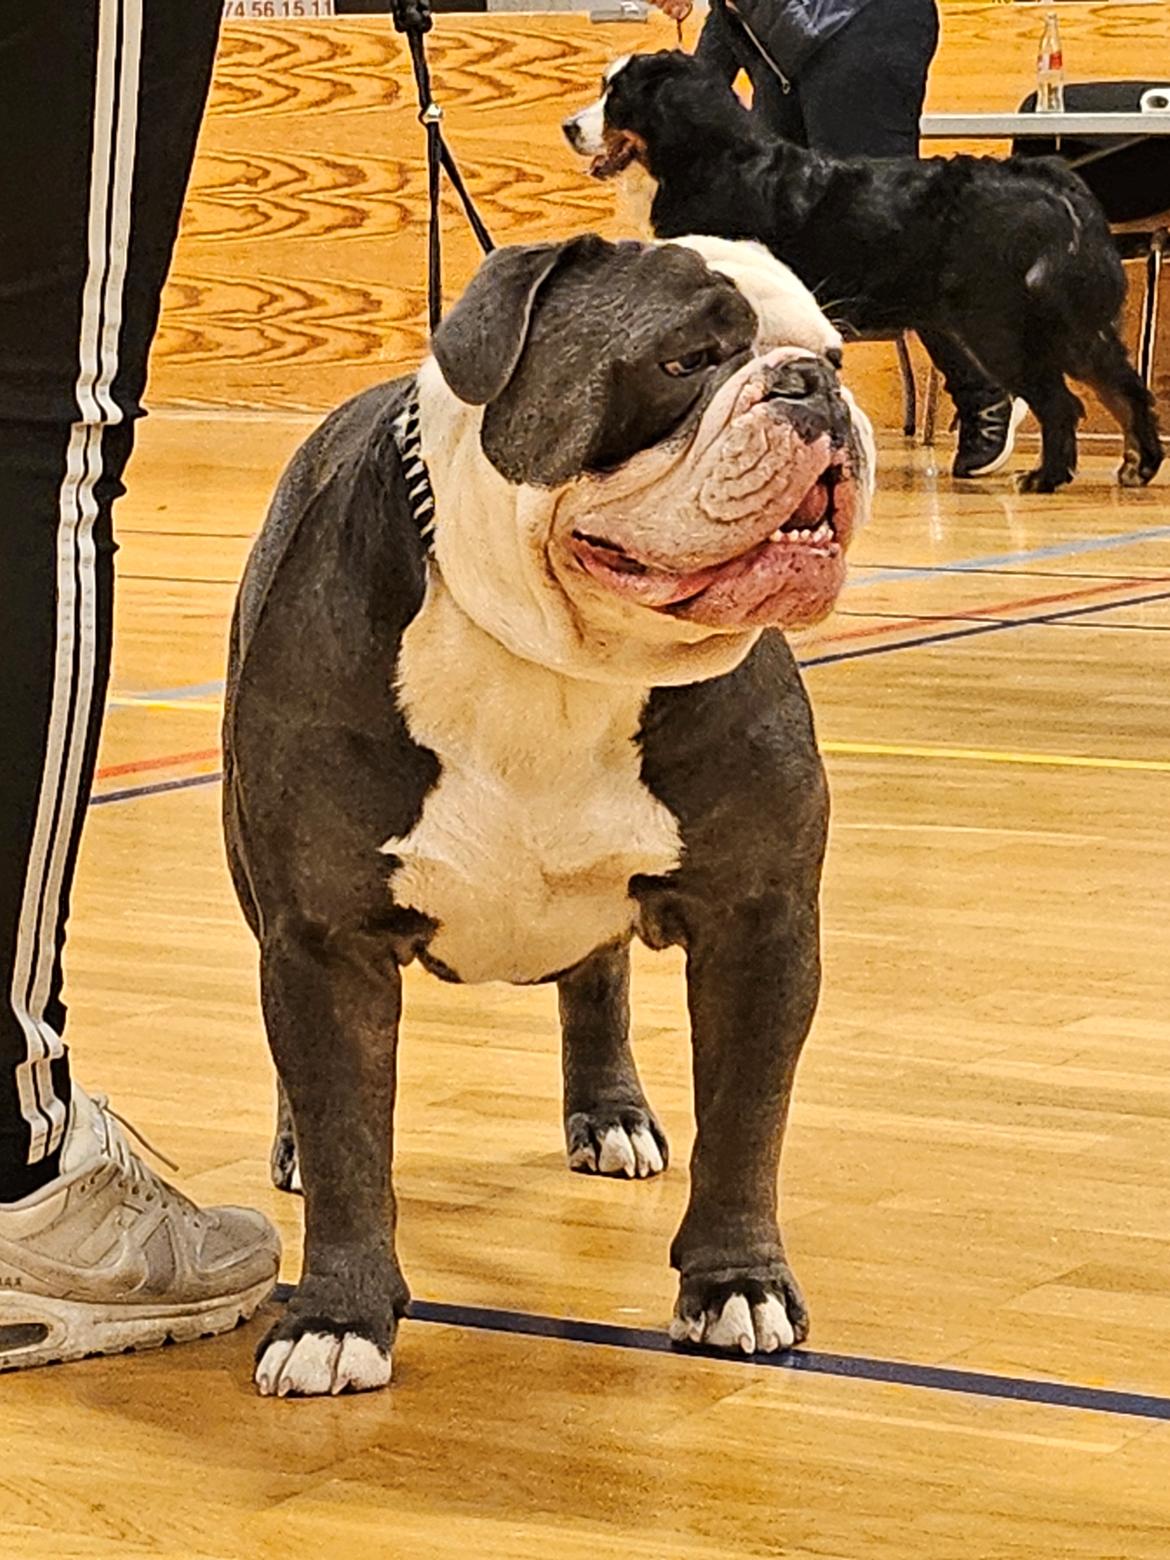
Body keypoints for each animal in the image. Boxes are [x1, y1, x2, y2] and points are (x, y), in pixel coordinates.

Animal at [224, 233, 873, 1404]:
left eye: (836, 354)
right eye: (685, 359)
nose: (815, 387)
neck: (559, 657)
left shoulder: (761, 926)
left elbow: (746, 1122)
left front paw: (737, 1285)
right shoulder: (323, 938)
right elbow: (350, 1140)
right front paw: (335, 1318)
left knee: (598, 979)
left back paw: (609, 1113)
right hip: (256, 895)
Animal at [564, 51, 1166, 492]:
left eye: (617, 98)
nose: (569, 126)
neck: (706, 162)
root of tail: (1048, 178)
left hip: (999, 326)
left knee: (1061, 401)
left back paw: (1048, 476)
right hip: (1067, 324)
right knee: (1124, 387)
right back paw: (1138, 464)